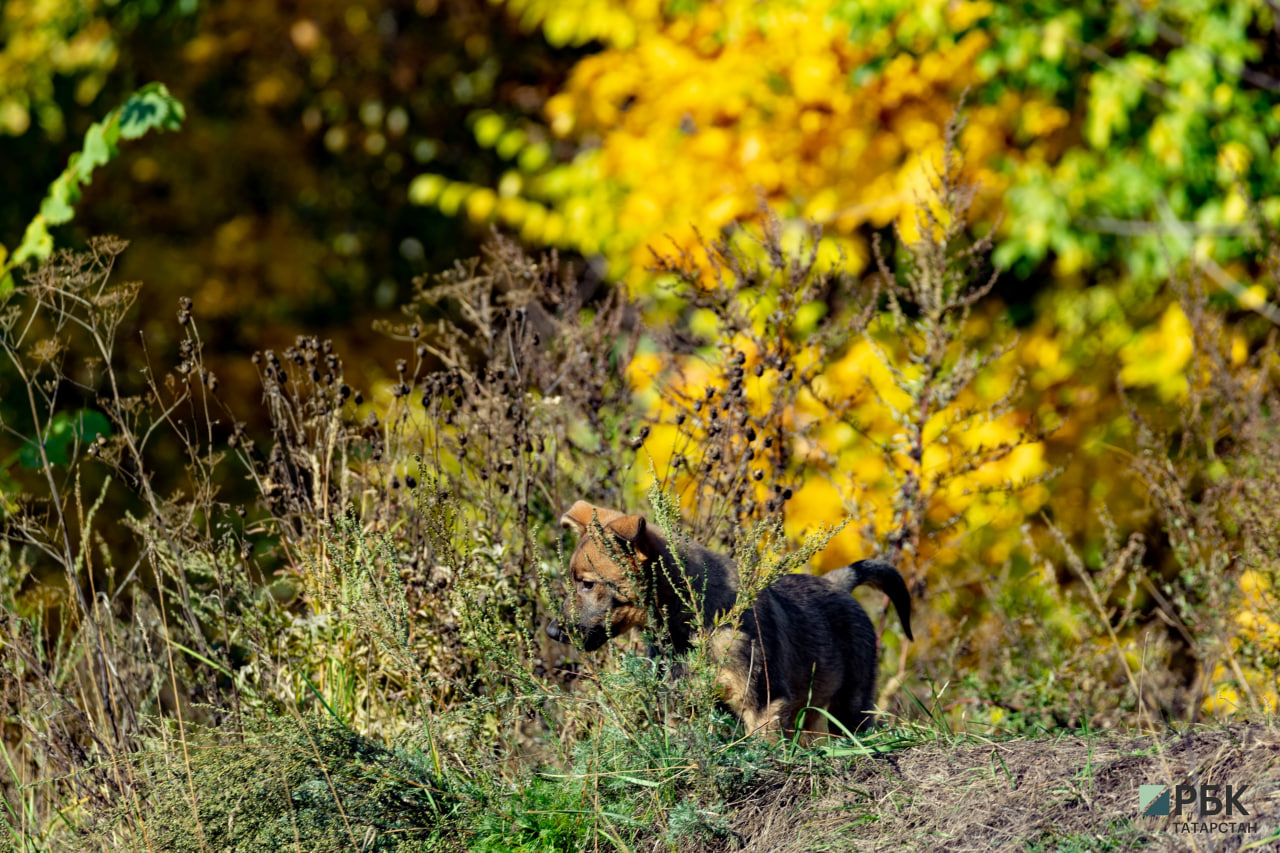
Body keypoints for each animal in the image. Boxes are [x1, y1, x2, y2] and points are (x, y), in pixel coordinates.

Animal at [545, 502, 916, 732]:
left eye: (587, 584)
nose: (551, 631)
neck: (688, 630)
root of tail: (837, 582)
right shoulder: (680, 708)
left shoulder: (763, 704)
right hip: (812, 709)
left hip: (852, 705)